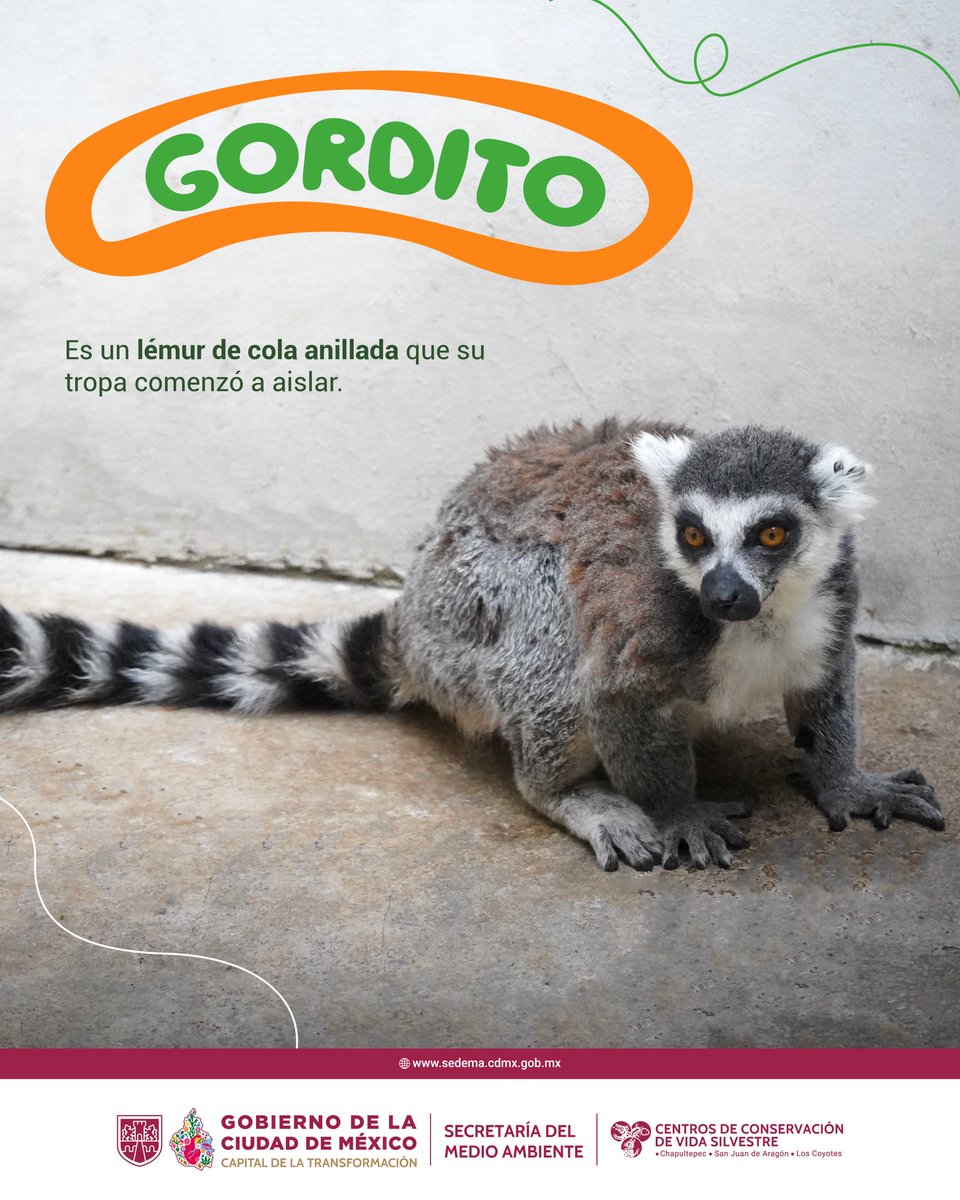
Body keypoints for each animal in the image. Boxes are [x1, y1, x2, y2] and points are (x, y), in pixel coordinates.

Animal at [0, 417, 943, 870]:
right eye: (693, 536)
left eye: (773, 535)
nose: (722, 592)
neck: (761, 621)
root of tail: (413, 618)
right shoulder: (646, 625)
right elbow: (611, 695)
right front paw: (675, 812)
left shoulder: (831, 600)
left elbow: (828, 686)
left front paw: (844, 781)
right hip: (468, 618)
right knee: (550, 636)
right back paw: (573, 796)